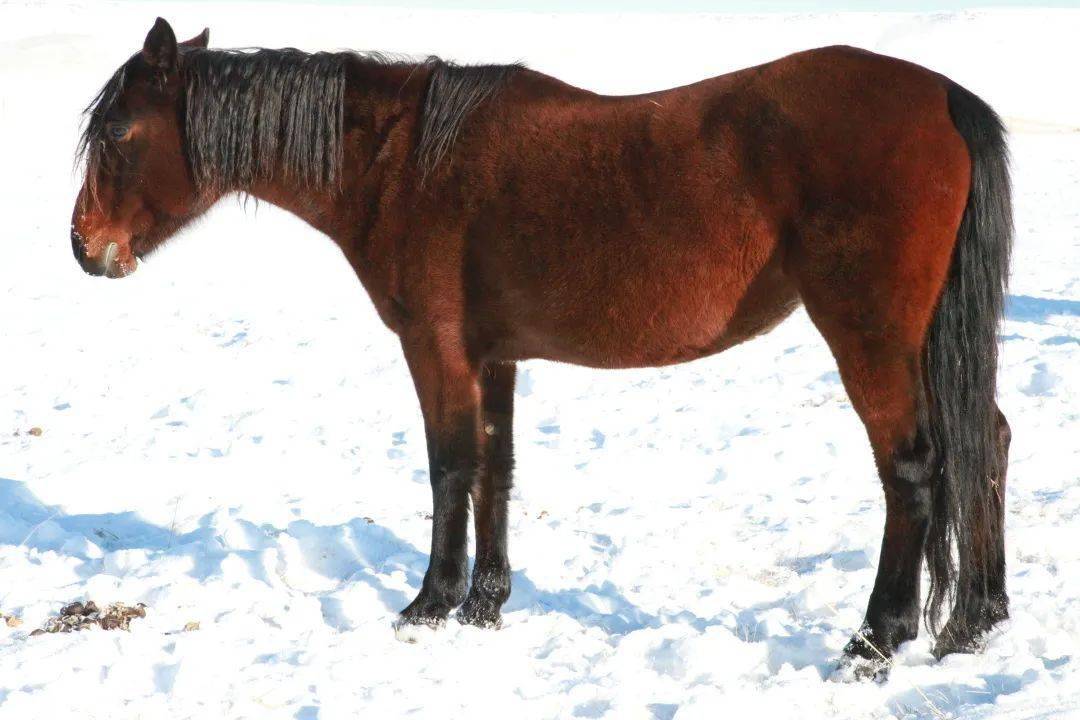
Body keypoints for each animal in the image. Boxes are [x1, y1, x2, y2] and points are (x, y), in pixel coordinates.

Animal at [73, 16, 1010, 677]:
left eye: (117, 133)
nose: (85, 249)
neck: (401, 162)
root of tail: (941, 98)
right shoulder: (494, 356)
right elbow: (497, 466)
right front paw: (486, 604)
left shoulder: (437, 349)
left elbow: (450, 466)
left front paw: (430, 603)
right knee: (985, 444)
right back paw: (975, 622)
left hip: (872, 336)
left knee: (912, 468)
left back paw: (878, 639)